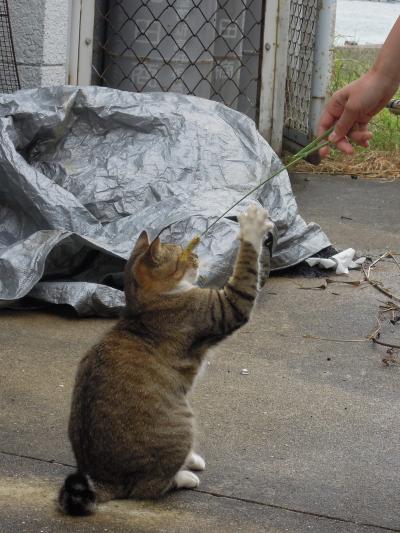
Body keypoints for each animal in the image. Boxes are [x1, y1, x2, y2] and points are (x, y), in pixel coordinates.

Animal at [57, 204, 274, 516]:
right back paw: (184, 475)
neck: (145, 307)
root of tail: (104, 480)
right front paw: (252, 227)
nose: (197, 256)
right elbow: (246, 268)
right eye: (182, 253)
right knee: (149, 488)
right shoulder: (227, 307)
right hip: (181, 424)